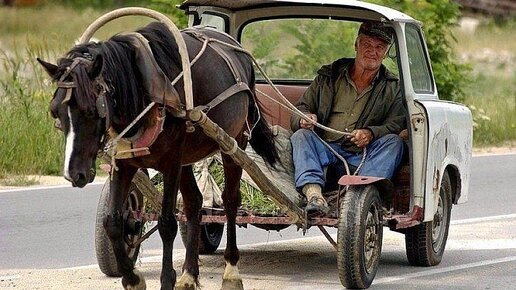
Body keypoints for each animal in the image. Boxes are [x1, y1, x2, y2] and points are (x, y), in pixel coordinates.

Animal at [37, 22, 278, 290]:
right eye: (55, 112)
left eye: (91, 110)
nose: (74, 174)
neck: (143, 91)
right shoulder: (124, 163)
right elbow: (113, 222)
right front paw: (132, 278)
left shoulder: (171, 162)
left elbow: (167, 224)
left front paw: (166, 279)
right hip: (187, 157)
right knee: (194, 203)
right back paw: (189, 274)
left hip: (234, 143)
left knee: (230, 201)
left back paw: (231, 271)